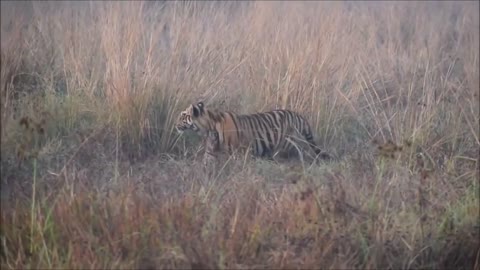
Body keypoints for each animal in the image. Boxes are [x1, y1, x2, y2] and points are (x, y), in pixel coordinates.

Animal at [175, 102, 330, 163]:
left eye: (183, 115)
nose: (175, 123)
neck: (209, 129)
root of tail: (297, 114)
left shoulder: (238, 153)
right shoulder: (210, 153)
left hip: (287, 144)